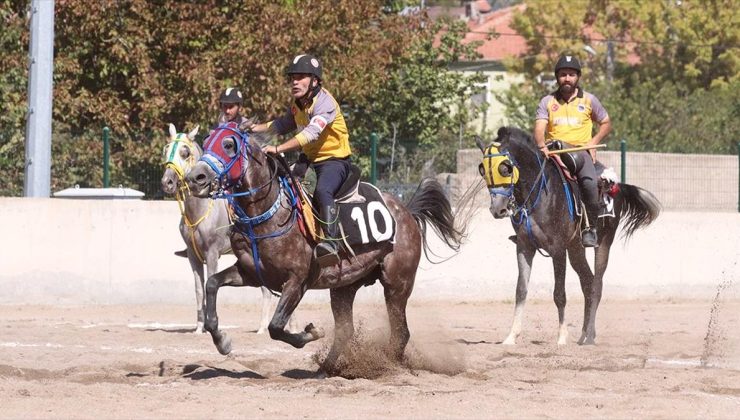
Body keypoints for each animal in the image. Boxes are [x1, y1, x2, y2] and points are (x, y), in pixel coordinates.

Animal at [160, 123, 290, 334]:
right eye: (165, 150)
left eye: (185, 152)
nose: (167, 182)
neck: (199, 211)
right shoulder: (193, 256)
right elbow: (198, 289)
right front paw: (199, 327)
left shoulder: (212, 254)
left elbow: (209, 283)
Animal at [185, 122, 462, 378]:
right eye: (207, 141)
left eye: (228, 145)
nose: (195, 178)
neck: (267, 215)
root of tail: (407, 212)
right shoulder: (251, 274)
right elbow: (211, 283)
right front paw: (222, 341)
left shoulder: (297, 281)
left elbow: (276, 327)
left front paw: (313, 332)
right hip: (344, 287)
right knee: (346, 331)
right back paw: (325, 369)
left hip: (397, 284)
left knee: (400, 332)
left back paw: (389, 367)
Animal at [476, 126, 660, 346]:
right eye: (482, 170)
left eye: (506, 168)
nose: (498, 209)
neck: (540, 193)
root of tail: (616, 185)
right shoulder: (524, 247)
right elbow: (520, 291)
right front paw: (511, 336)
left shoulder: (558, 250)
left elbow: (559, 294)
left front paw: (562, 337)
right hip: (576, 250)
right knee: (588, 283)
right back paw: (583, 334)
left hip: (603, 244)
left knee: (596, 286)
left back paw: (590, 336)